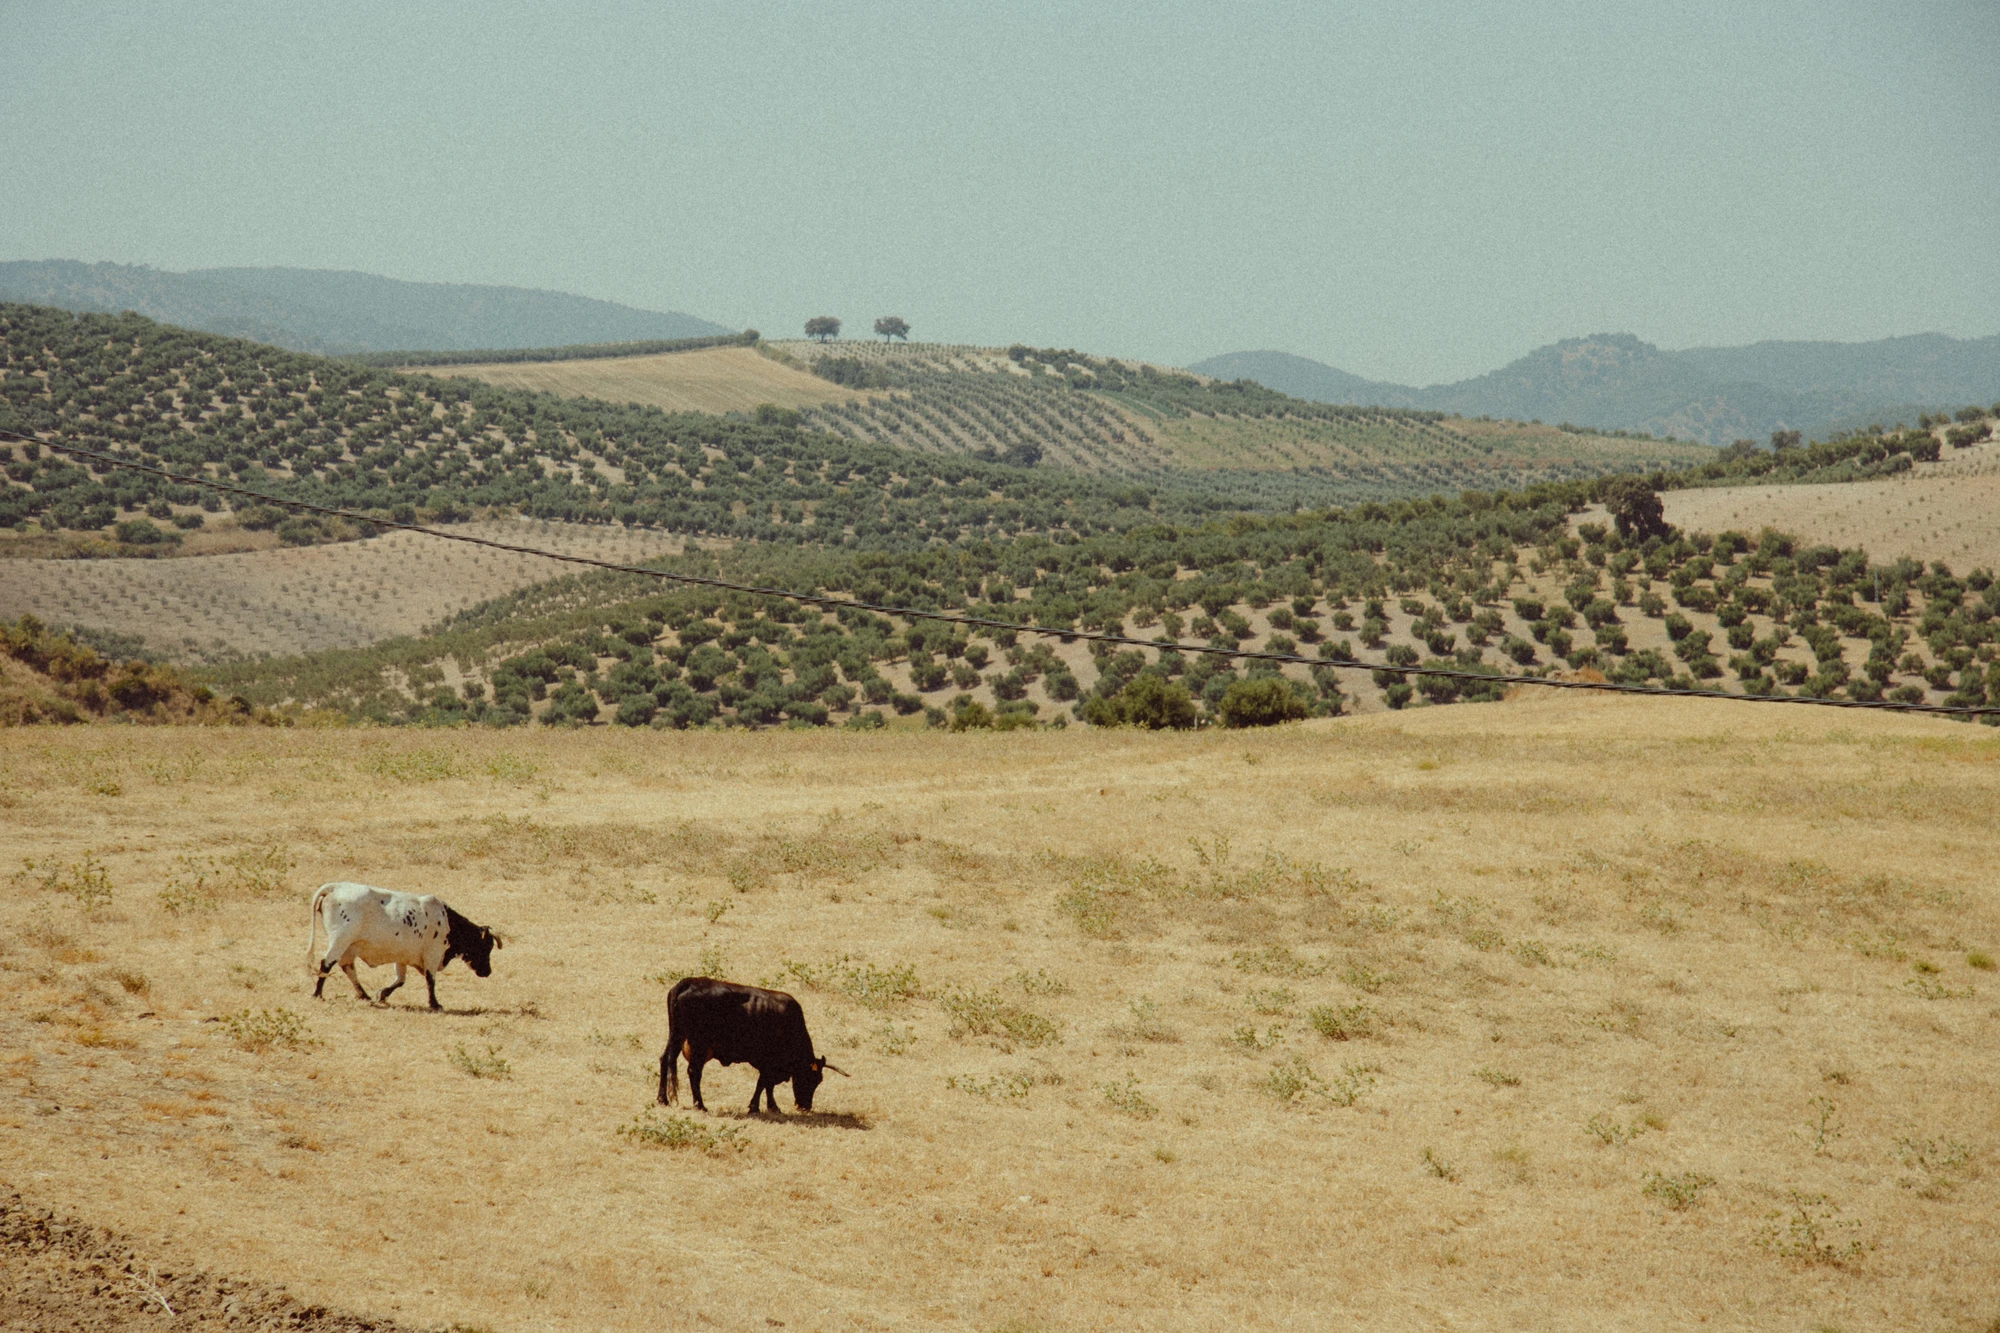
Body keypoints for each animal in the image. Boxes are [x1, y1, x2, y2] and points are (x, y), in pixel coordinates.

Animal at [305, 881, 500, 1010]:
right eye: (485, 947)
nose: (488, 972)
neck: (447, 922)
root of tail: (334, 887)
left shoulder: (402, 957)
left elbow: (400, 980)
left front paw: (381, 994)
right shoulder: (432, 954)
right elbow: (430, 979)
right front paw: (435, 1004)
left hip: (348, 947)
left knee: (348, 967)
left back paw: (364, 995)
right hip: (340, 940)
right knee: (326, 963)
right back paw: (318, 994)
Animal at [657, 977, 846, 1115]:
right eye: (811, 1078)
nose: (805, 1106)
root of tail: (689, 982)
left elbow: (767, 1086)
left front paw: (772, 1106)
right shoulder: (768, 1063)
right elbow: (763, 1083)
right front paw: (756, 1107)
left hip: (676, 1037)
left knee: (665, 1060)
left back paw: (662, 1099)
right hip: (698, 1045)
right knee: (694, 1072)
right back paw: (700, 1105)